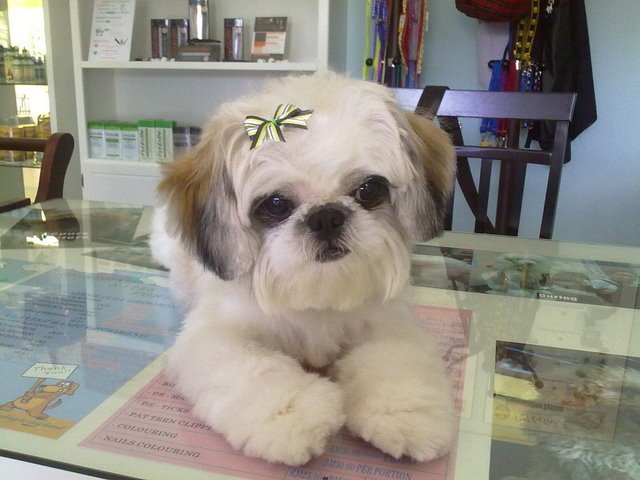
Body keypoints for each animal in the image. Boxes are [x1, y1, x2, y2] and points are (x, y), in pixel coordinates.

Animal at [150, 73, 457, 466]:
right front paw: (293, 414)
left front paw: (404, 411)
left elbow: (395, 359)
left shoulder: (389, 322)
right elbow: (257, 368)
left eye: (369, 189)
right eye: (276, 204)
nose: (326, 216)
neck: (317, 294)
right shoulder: (212, 337)